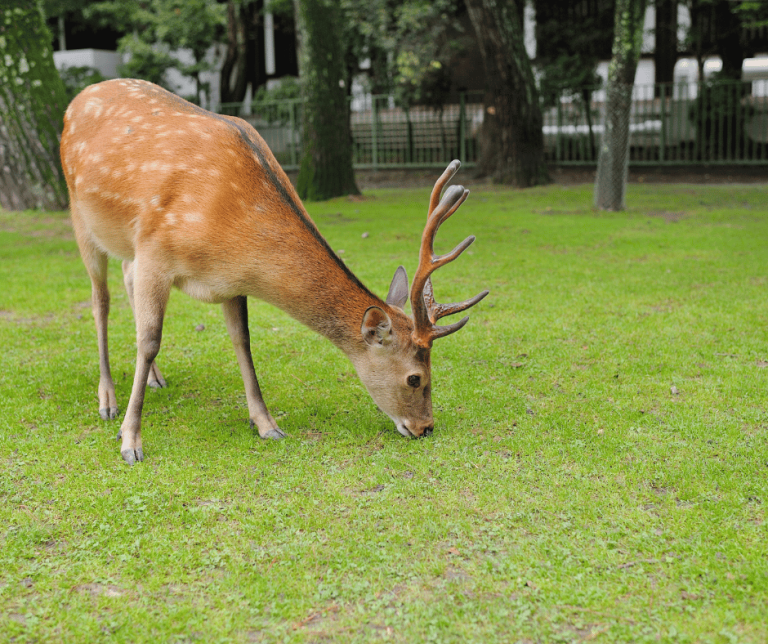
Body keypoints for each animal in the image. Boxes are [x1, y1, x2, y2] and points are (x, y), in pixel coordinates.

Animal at [59, 79, 488, 464]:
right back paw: (108, 399)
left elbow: (243, 342)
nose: (425, 427)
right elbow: (148, 342)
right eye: (415, 377)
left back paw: (155, 378)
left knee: (126, 277)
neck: (232, 238)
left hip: (125, 241)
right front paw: (130, 440)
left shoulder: (225, 279)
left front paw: (267, 424)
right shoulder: (155, 251)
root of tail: (76, 99)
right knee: (100, 301)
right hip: (81, 217)